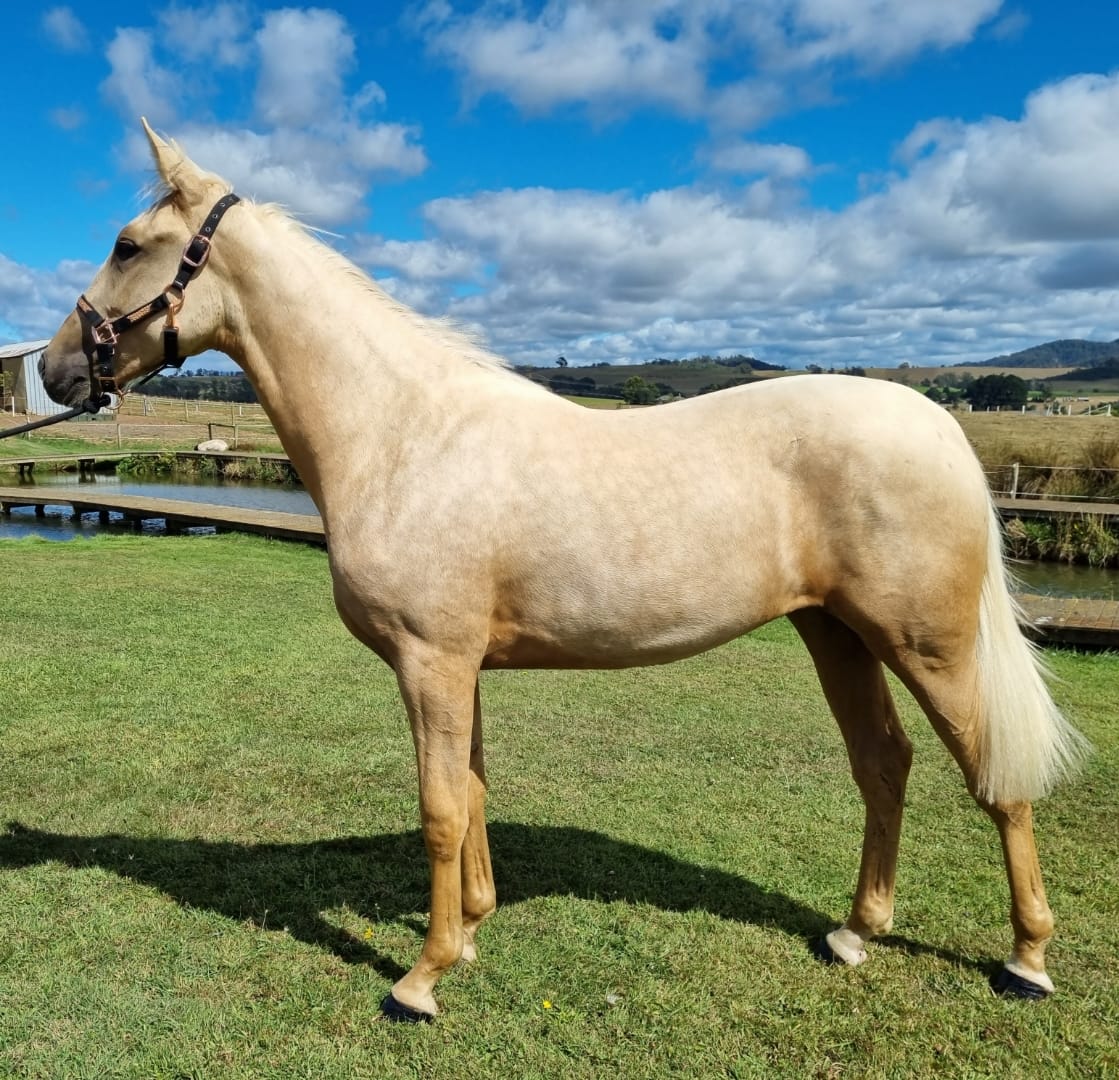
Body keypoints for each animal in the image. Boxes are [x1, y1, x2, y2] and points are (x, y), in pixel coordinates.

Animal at [40, 120, 1087, 1021]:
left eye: (128, 245)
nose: (53, 372)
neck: (402, 433)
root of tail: (939, 423)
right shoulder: (459, 669)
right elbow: (472, 794)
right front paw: (467, 936)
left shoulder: (430, 664)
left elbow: (438, 810)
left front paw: (420, 980)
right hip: (835, 632)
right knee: (882, 762)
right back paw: (855, 933)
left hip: (928, 645)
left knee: (995, 780)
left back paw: (1027, 960)